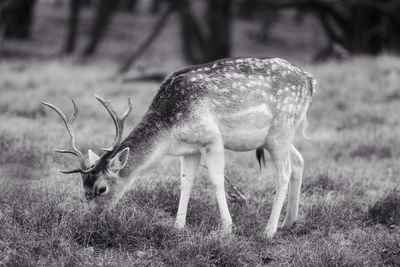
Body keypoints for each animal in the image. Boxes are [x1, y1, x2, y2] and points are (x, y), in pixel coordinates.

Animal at [41, 56, 316, 239]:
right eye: (82, 187)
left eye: (101, 189)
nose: (89, 220)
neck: (171, 130)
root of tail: (310, 81)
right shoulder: (190, 148)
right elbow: (186, 182)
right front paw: (178, 226)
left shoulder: (212, 137)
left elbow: (216, 180)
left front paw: (226, 229)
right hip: (275, 137)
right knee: (300, 161)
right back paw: (289, 223)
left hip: (281, 129)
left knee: (283, 174)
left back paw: (269, 231)